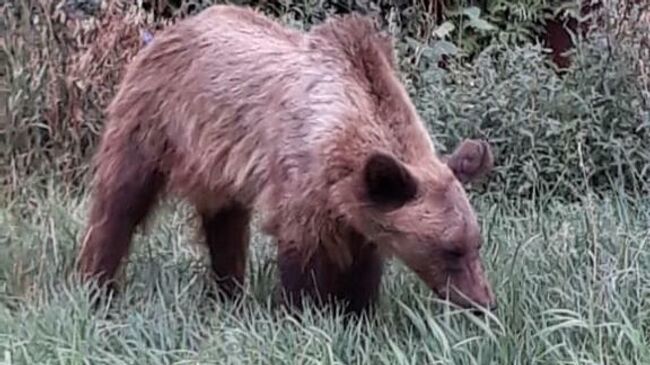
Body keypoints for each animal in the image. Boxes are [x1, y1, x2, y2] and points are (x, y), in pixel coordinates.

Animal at [76, 3, 494, 312]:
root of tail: (172, 30)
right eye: (450, 249)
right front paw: (305, 311)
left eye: (476, 242)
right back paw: (97, 285)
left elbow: (363, 264)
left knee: (225, 223)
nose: (482, 303)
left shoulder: (362, 203)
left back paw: (229, 293)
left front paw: (359, 311)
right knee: (120, 201)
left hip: (216, 164)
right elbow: (303, 257)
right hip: (154, 119)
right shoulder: (302, 179)